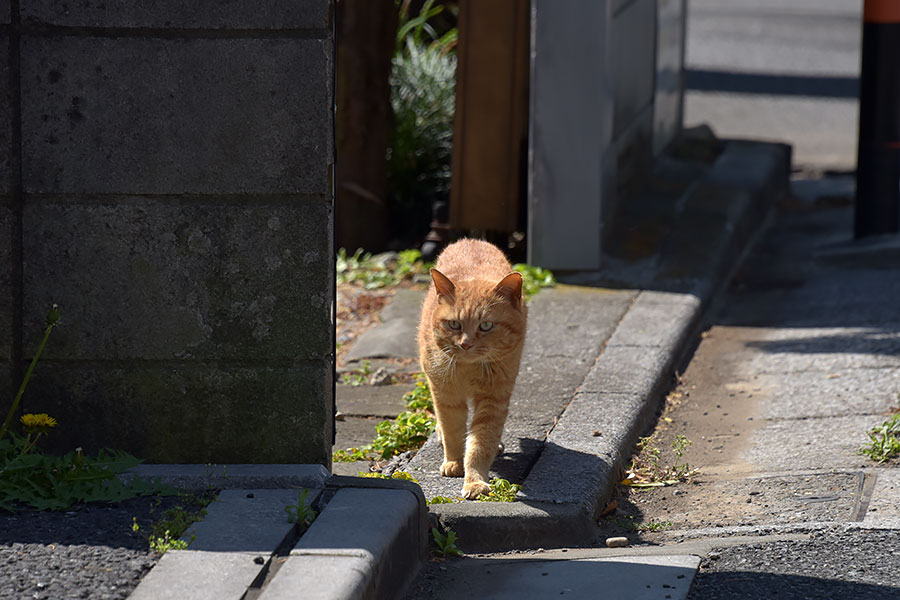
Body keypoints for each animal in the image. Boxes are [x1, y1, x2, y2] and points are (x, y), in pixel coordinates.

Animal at [416, 238, 524, 496]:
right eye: (454, 324)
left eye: (486, 325)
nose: (466, 344)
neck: (469, 368)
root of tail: (471, 239)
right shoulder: (446, 395)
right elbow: (453, 431)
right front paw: (454, 462)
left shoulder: (494, 398)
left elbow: (481, 442)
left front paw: (474, 480)